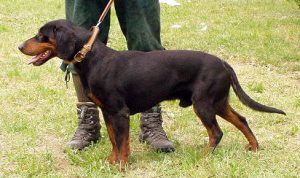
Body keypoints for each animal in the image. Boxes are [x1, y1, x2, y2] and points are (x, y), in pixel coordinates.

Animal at [18, 19, 286, 165]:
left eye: (42, 35)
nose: (20, 46)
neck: (94, 59)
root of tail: (223, 63)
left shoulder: (120, 112)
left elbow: (122, 142)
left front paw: (121, 166)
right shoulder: (108, 112)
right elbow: (114, 140)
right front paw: (112, 162)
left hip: (204, 104)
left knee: (217, 133)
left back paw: (203, 156)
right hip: (218, 103)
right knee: (242, 119)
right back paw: (254, 147)